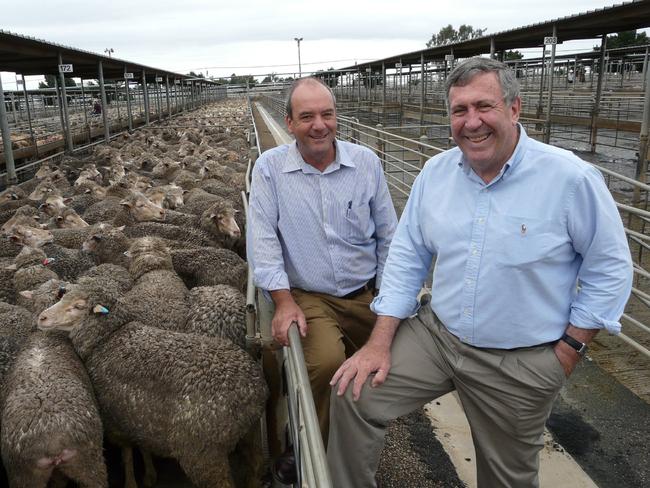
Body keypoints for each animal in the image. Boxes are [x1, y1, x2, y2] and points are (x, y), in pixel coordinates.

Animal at [36, 274, 268, 488]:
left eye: (78, 306)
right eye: (64, 295)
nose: (42, 318)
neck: (108, 338)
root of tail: (251, 391)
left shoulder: (116, 420)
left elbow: (128, 452)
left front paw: (133, 480)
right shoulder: (139, 416)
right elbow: (143, 446)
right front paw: (149, 474)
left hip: (203, 451)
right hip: (251, 434)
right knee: (256, 465)